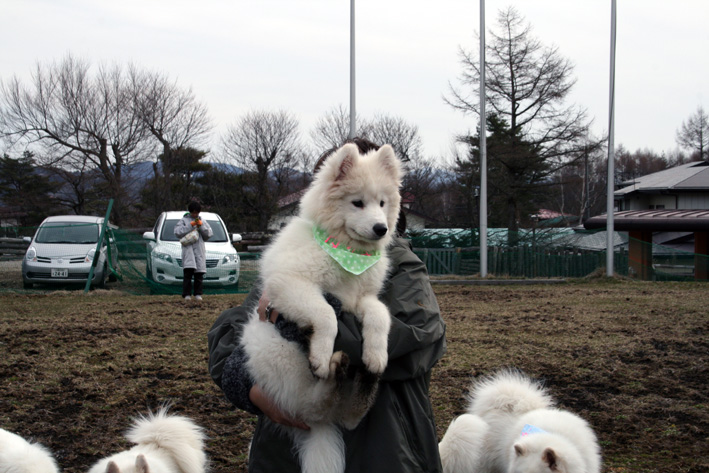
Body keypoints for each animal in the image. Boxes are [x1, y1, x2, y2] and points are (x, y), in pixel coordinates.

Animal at [239, 141, 402, 472]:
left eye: (382, 202)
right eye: (357, 203)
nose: (381, 228)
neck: (345, 253)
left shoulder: (363, 298)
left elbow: (380, 317)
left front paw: (376, 354)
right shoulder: (290, 283)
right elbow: (327, 314)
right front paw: (322, 354)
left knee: (347, 418)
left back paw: (364, 378)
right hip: (276, 351)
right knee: (309, 406)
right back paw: (331, 371)